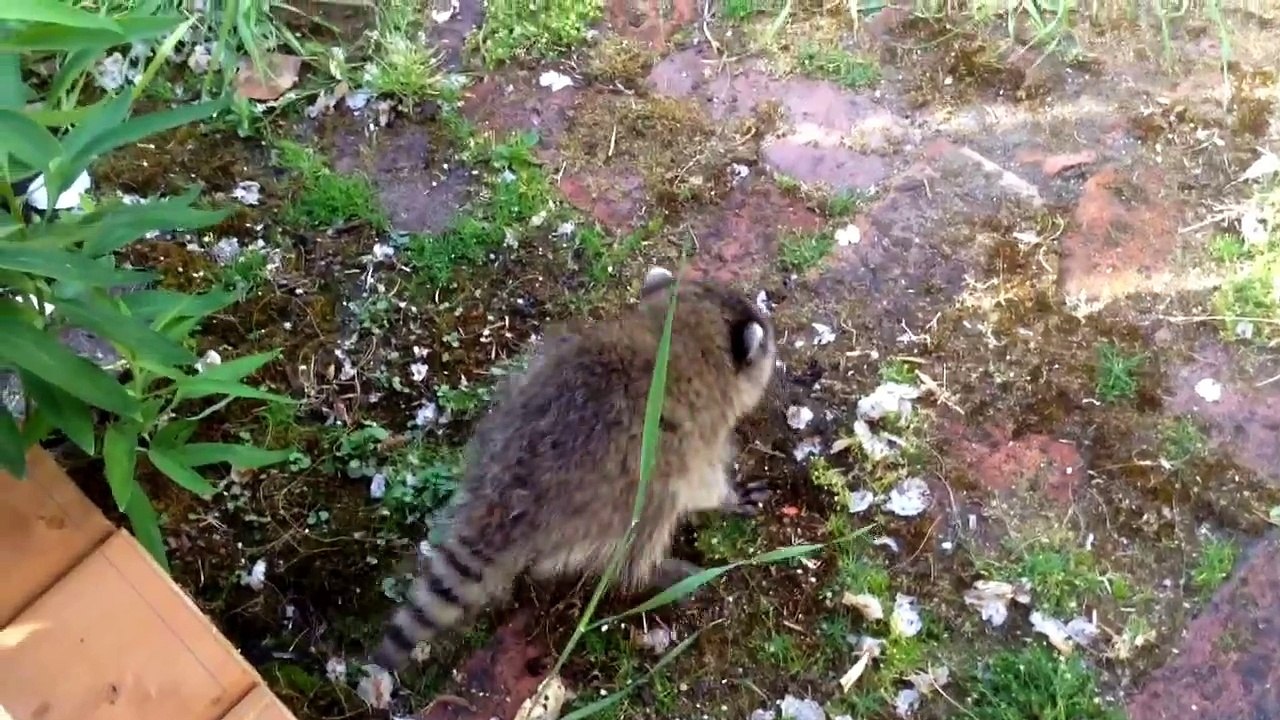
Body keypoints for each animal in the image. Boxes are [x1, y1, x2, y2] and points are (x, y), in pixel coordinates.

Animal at [370, 266, 777, 671]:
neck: (679, 334)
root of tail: (505, 500)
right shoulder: (699, 431)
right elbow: (701, 483)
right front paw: (726, 497)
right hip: (629, 488)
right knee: (647, 524)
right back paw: (656, 571)